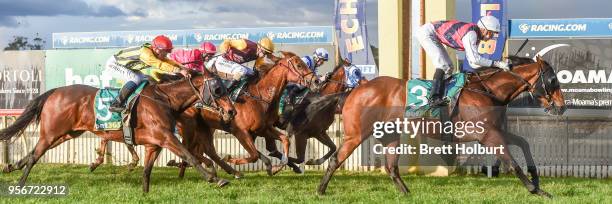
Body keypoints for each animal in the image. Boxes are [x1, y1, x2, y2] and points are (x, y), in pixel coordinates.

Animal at [0, 71, 235, 192]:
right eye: (218, 89)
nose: (231, 111)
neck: (164, 100)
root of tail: (55, 91)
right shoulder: (166, 137)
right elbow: (190, 156)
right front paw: (216, 178)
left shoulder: (154, 144)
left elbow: (146, 171)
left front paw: (145, 194)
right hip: (51, 132)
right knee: (34, 156)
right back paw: (20, 184)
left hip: (68, 133)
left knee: (33, 153)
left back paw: (11, 166)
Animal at [318, 56, 568, 198]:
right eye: (553, 80)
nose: (562, 106)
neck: (488, 91)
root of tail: (356, 90)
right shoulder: (487, 135)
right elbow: (512, 162)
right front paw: (536, 190)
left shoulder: (495, 131)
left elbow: (524, 143)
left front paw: (536, 179)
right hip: (356, 134)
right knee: (336, 159)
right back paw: (320, 190)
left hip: (390, 135)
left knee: (391, 168)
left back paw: (407, 194)